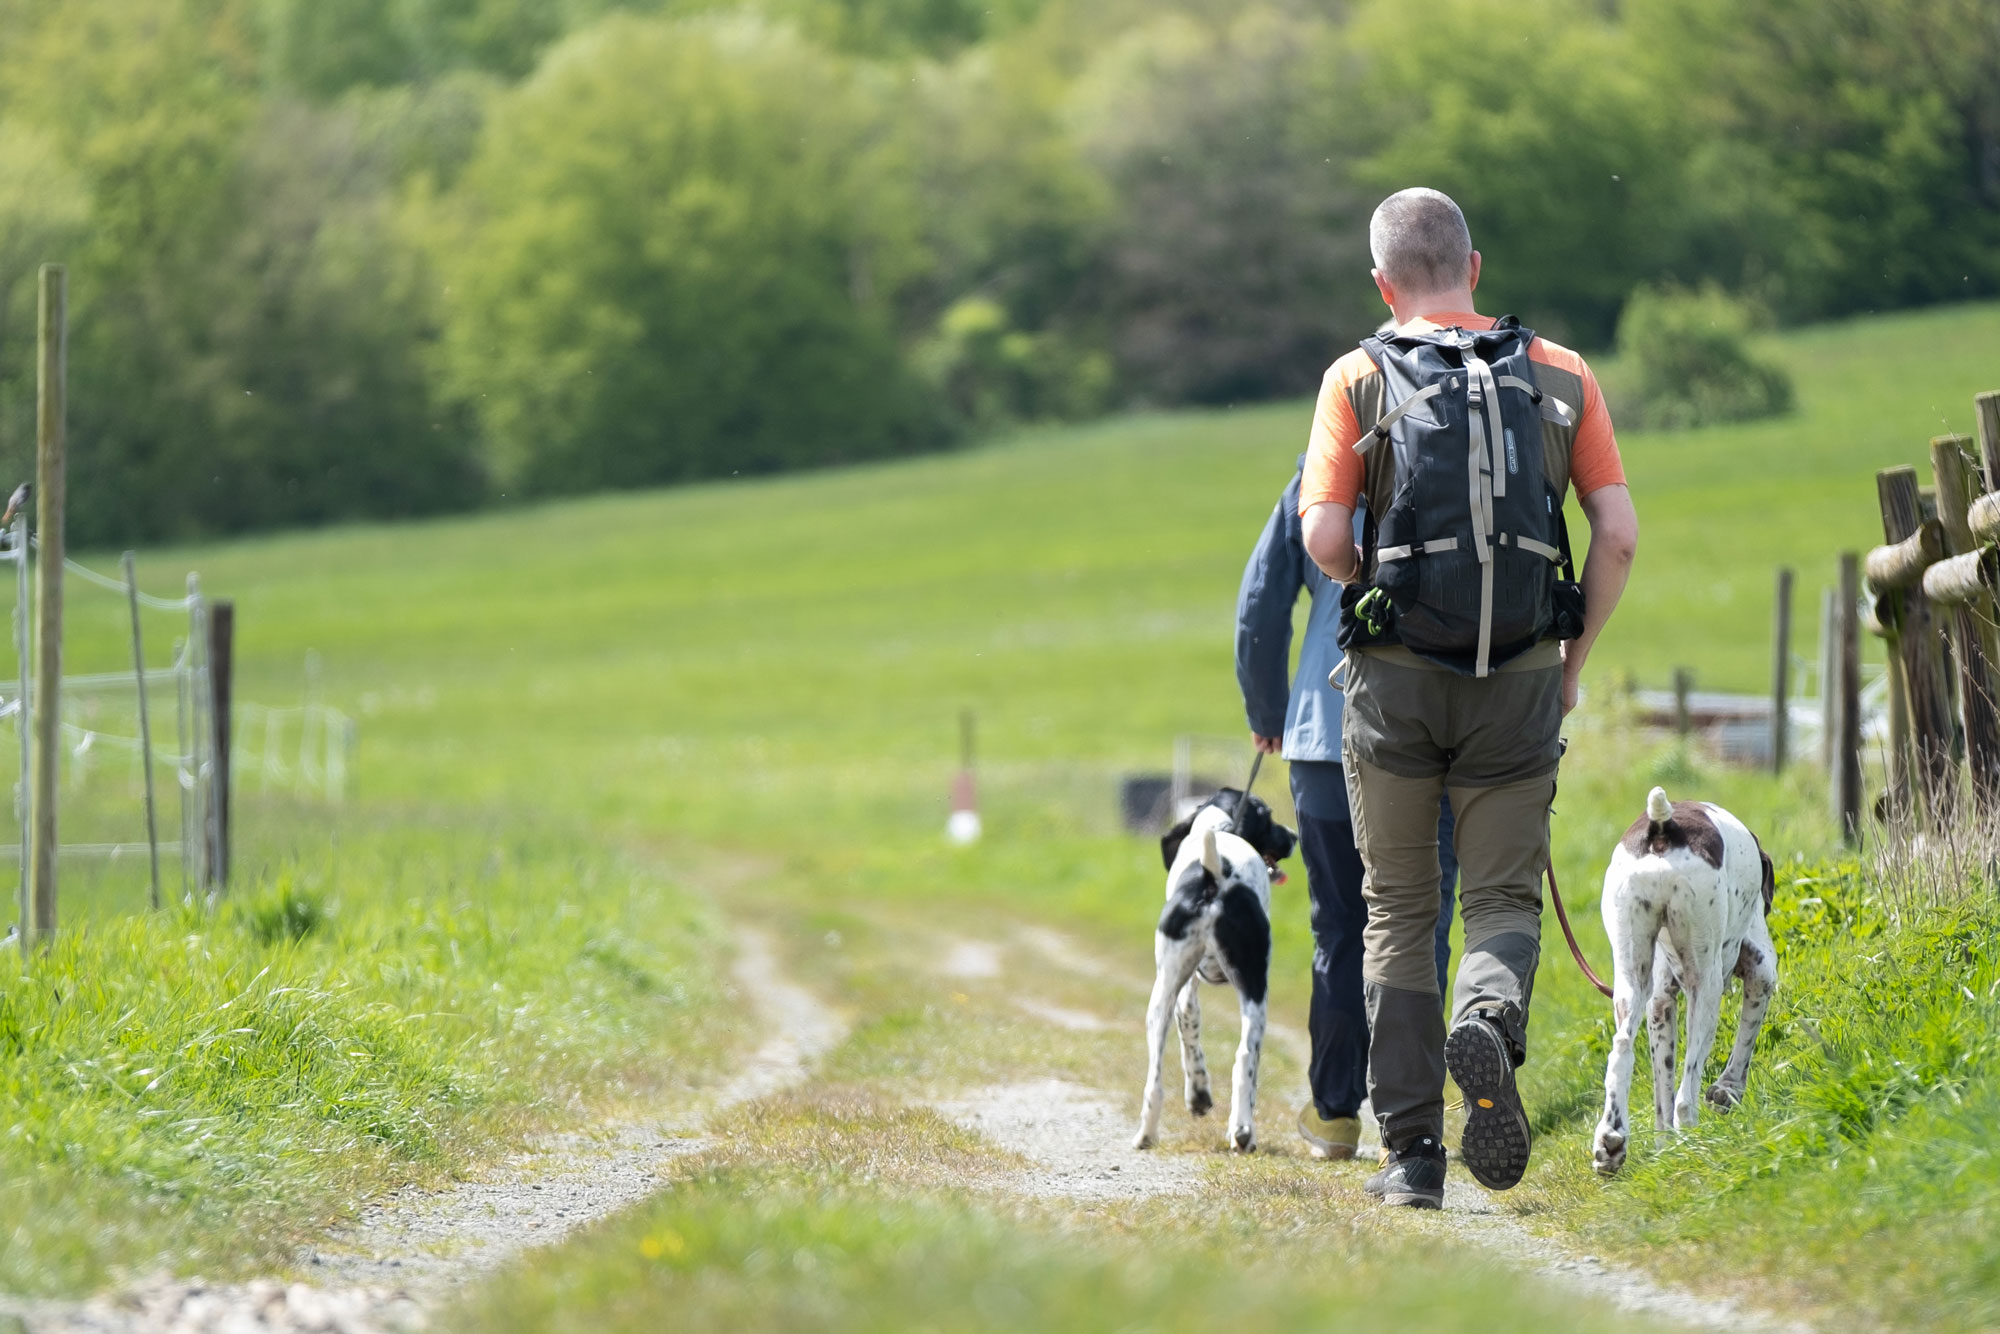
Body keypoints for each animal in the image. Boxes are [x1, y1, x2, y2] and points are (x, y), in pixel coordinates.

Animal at [1128, 788, 1296, 1152]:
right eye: (1269, 817)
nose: (1294, 836)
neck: (1222, 827)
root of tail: (1213, 878)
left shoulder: (1184, 990)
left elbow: (1190, 1037)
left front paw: (1199, 1095)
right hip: (1253, 990)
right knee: (1245, 1058)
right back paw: (1243, 1131)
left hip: (1161, 996)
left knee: (1155, 1077)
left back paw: (1147, 1135)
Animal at [1592, 788, 1784, 1176]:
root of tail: (1664, 825)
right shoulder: (1761, 970)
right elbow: (1743, 1046)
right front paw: (1727, 1091)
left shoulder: (1659, 1004)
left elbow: (1660, 1093)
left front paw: (1663, 1148)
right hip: (1705, 986)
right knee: (1685, 1094)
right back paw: (1694, 1141)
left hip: (1632, 980)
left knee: (1621, 1051)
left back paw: (1611, 1140)